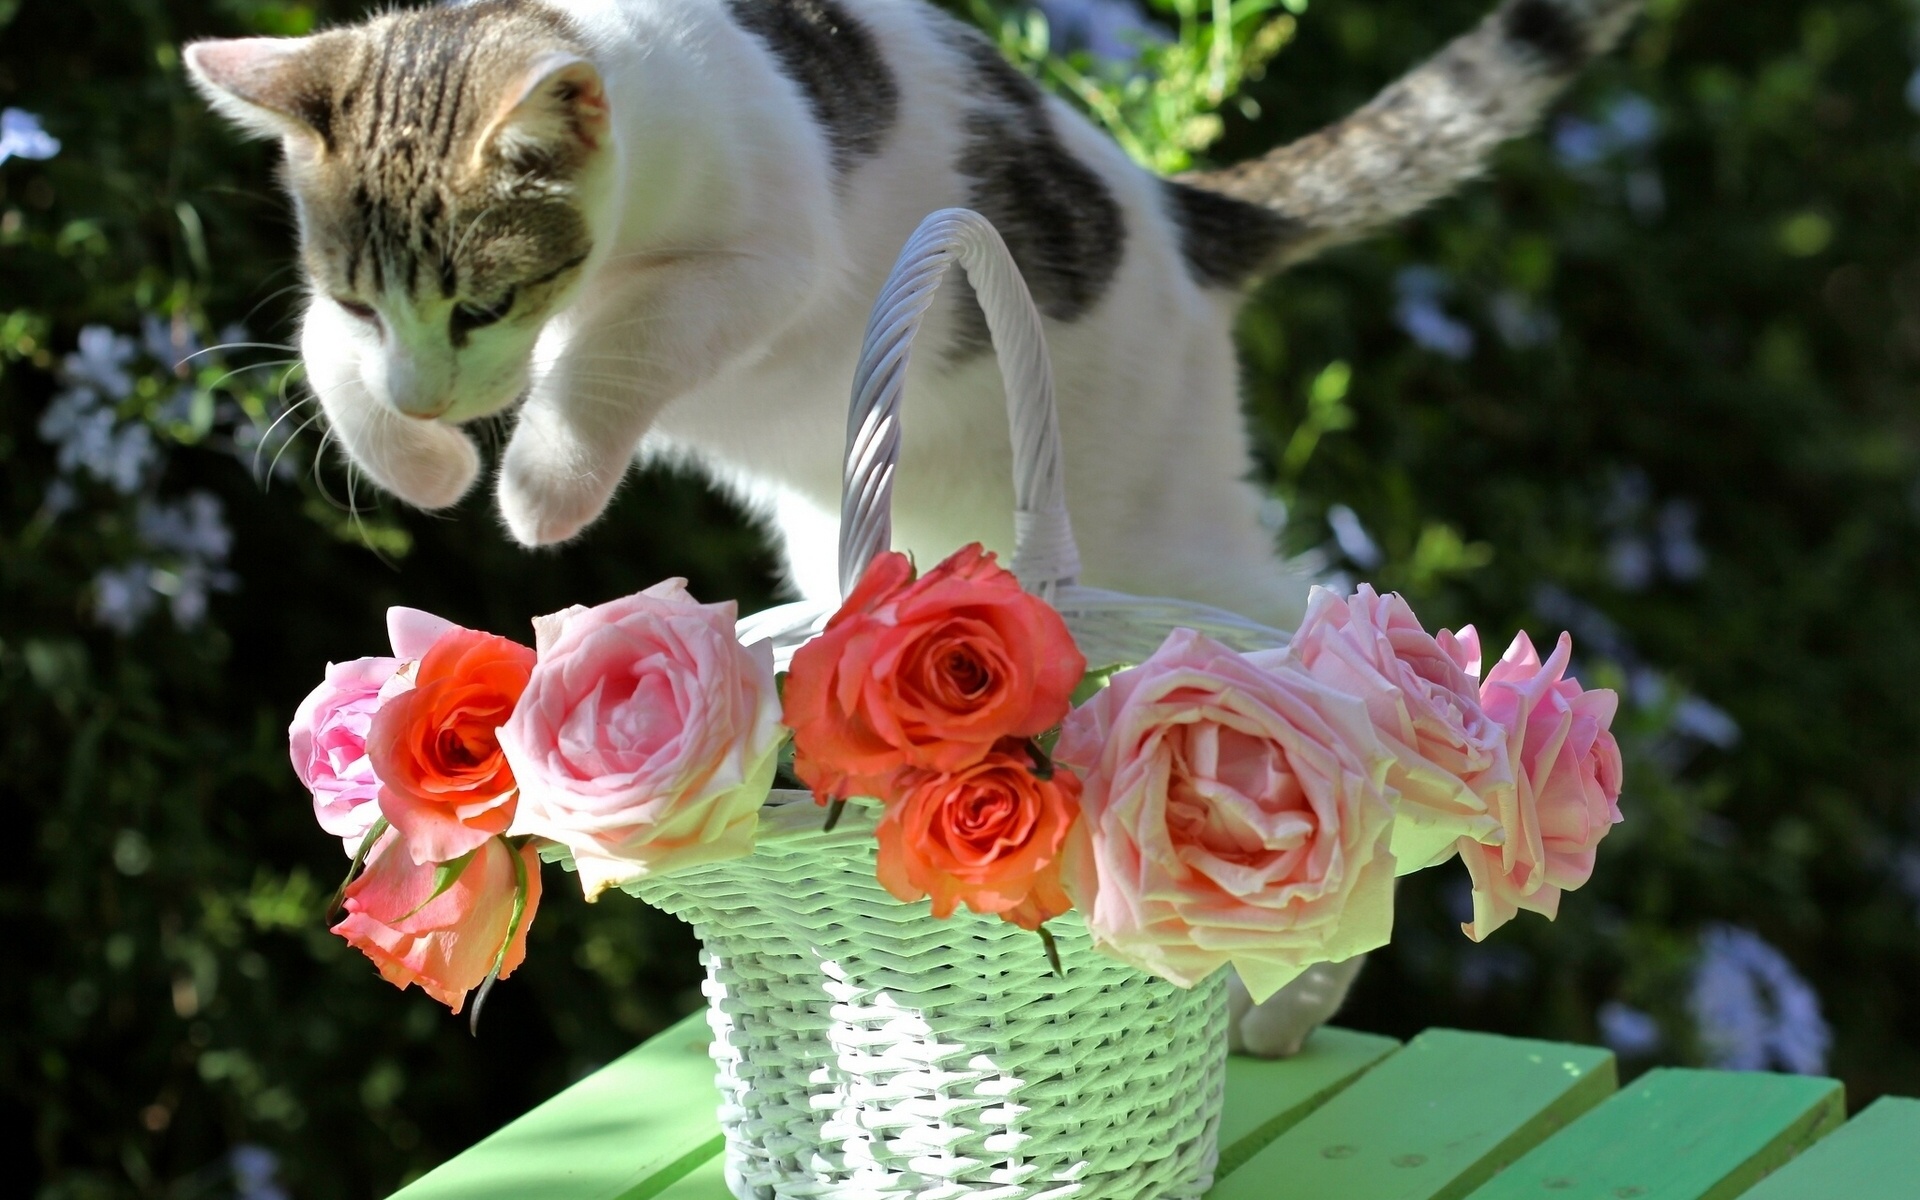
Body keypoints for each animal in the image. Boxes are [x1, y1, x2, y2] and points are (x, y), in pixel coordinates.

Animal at [187, 0, 1643, 1044]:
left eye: (481, 304)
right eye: (371, 299)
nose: (435, 392)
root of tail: (1179, 217)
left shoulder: (761, 261)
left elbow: (619, 344)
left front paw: (542, 481)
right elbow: (317, 355)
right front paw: (412, 453)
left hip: (1158, 524)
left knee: (1329, 644)